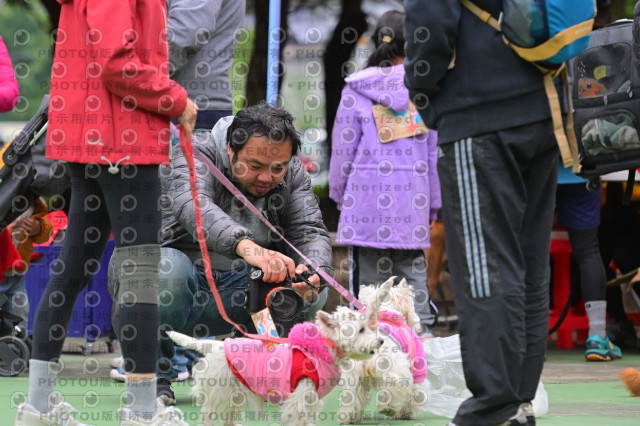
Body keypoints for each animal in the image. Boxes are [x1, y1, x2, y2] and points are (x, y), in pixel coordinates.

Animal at [168, 306, 383, 426]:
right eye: (361, 330)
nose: (381, 341)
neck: (322, 350)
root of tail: (217, 344)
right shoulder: (300, 394)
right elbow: (300, 417)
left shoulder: (310, 396)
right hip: (220, 389)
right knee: (208, 412)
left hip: (234, 390)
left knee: (227, 412)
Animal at [338, 277, 430, 423]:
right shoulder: (417, 369)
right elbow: (415, 395)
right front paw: (407, 413)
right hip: (392, 368)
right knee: (390, 388)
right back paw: (387, 408)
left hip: (352, 376)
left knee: (352, 397)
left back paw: (348, 418)